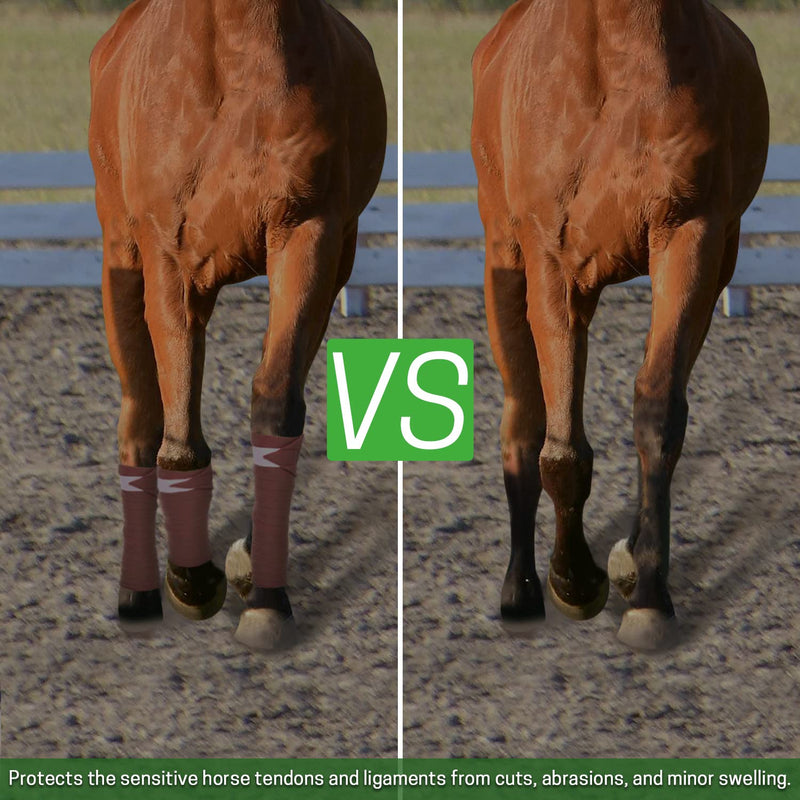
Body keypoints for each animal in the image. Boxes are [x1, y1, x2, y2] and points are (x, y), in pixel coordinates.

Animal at [89, 0, 386, 651]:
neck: (235, 53)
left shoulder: (307, 235)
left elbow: (276, 403)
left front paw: (266, 597)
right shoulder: (165, 253)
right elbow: (174, 425)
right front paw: (191, 579)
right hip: (123, 261)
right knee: (139, 415)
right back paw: (138, 595)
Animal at [471, 0, 769, 650]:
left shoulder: (689, 238)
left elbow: (658, 412)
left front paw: (648, 594)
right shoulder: (549, 259)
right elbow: (558, 447)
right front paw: (574, 582)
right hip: (506, 265)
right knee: (524, 418)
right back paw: (520, 592)